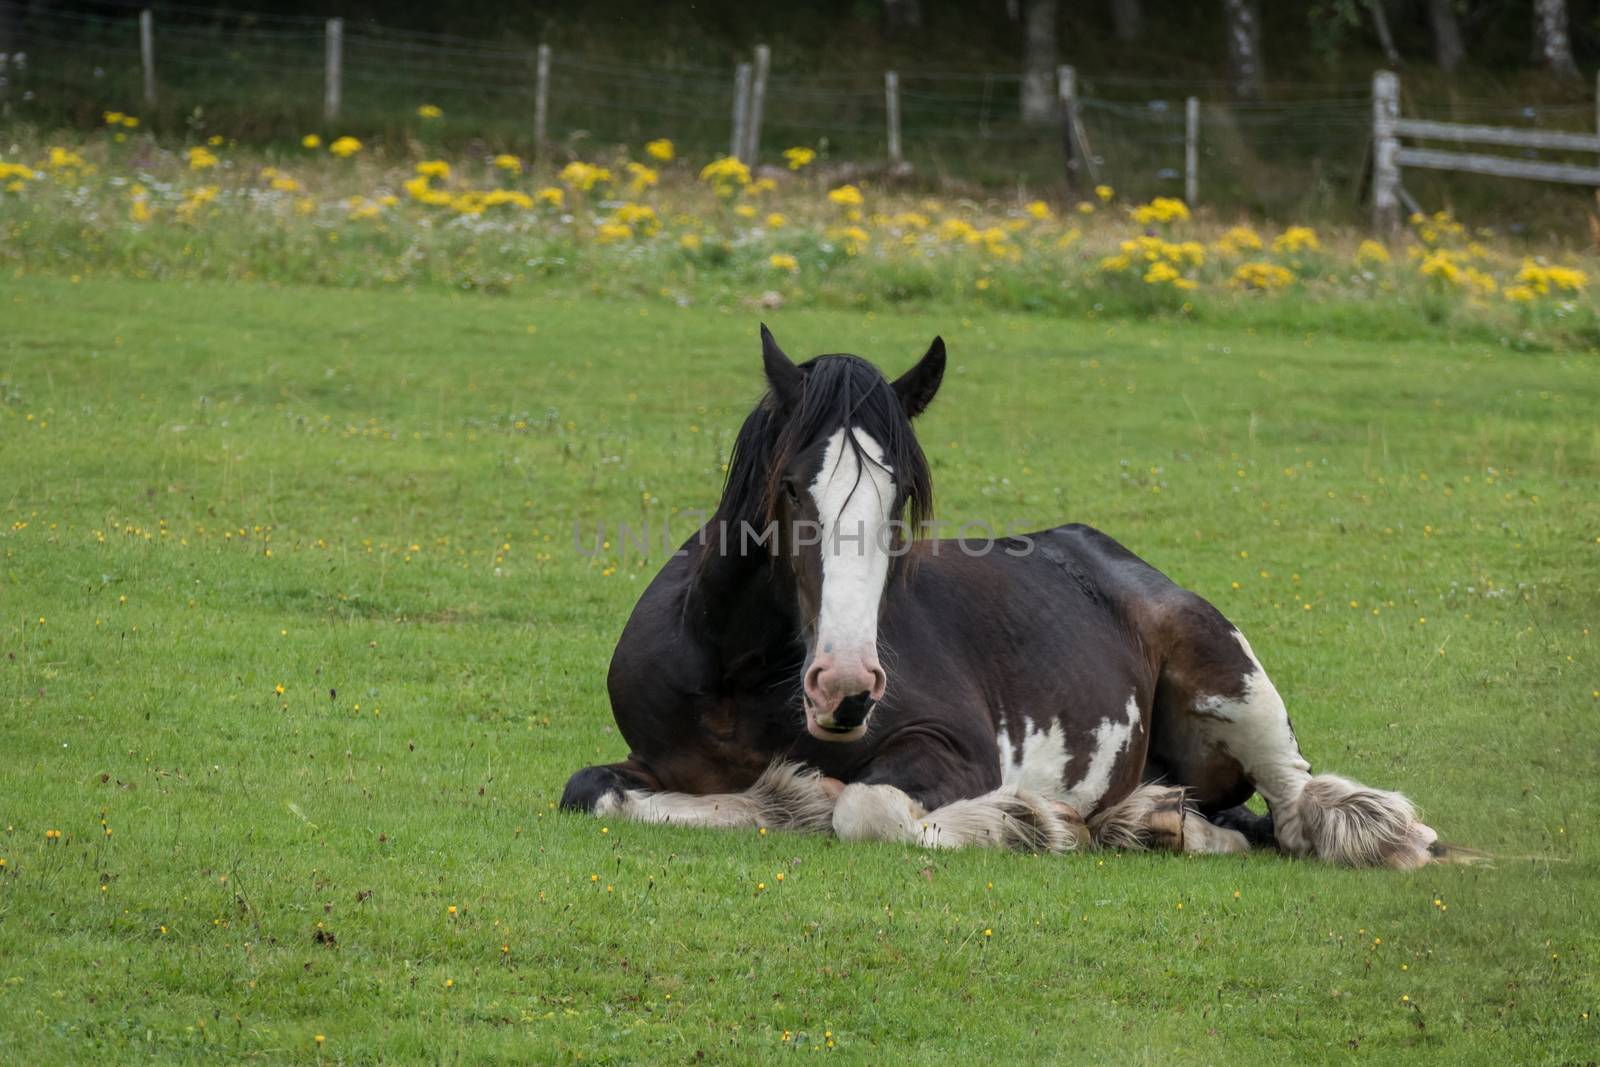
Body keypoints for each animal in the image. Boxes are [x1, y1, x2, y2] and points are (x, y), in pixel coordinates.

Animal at [560, 326, 1440, 870]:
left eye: (901, 497)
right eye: (791, 487)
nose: (845, 688)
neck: (735, 676)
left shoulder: (953, 750)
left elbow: (863, 809)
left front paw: (1022, 820)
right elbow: (594, 793)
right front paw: (783, 796)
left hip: (1239, 690)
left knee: (1296, 805)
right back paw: (1150, 822)